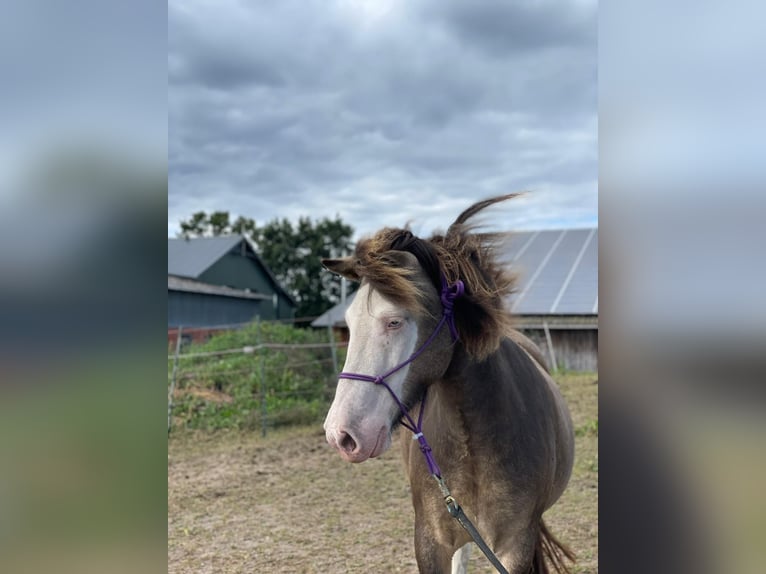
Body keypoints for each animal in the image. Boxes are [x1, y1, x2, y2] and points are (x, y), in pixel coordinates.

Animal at [322, 195, 575, 574]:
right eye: (349, 324)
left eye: (394, 321)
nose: (341, 434)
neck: (473, 440)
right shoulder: (430, 542)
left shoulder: (516, 547)